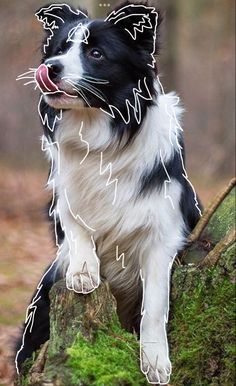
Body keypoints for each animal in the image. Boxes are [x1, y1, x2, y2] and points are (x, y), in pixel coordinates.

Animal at [15, 2, 202, 382]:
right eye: (59, 50)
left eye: (96, 54)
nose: (50, 68)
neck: (99, 131)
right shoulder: (62, 198)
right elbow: (76, 225)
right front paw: (83, 270)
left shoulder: (163, 232)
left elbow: (155, 304)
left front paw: (155, 360)